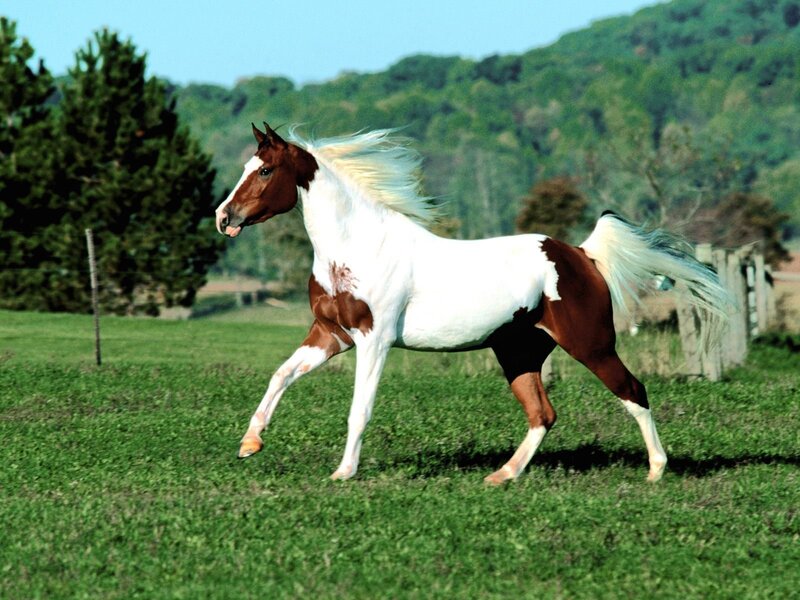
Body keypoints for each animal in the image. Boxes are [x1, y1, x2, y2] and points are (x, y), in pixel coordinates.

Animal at [215, 122, 730, 484]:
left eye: (264, 170)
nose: (224, 217)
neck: (358, 248)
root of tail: (582, 255)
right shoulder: (331, 334)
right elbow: (280, 374)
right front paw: (249, 443)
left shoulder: (373, 340)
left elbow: (359, 409)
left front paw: (343, 472)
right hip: (519, 352)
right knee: (543, 415)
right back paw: (502, 475)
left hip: (592, 345)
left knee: (633, 392)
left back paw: (657, 470)